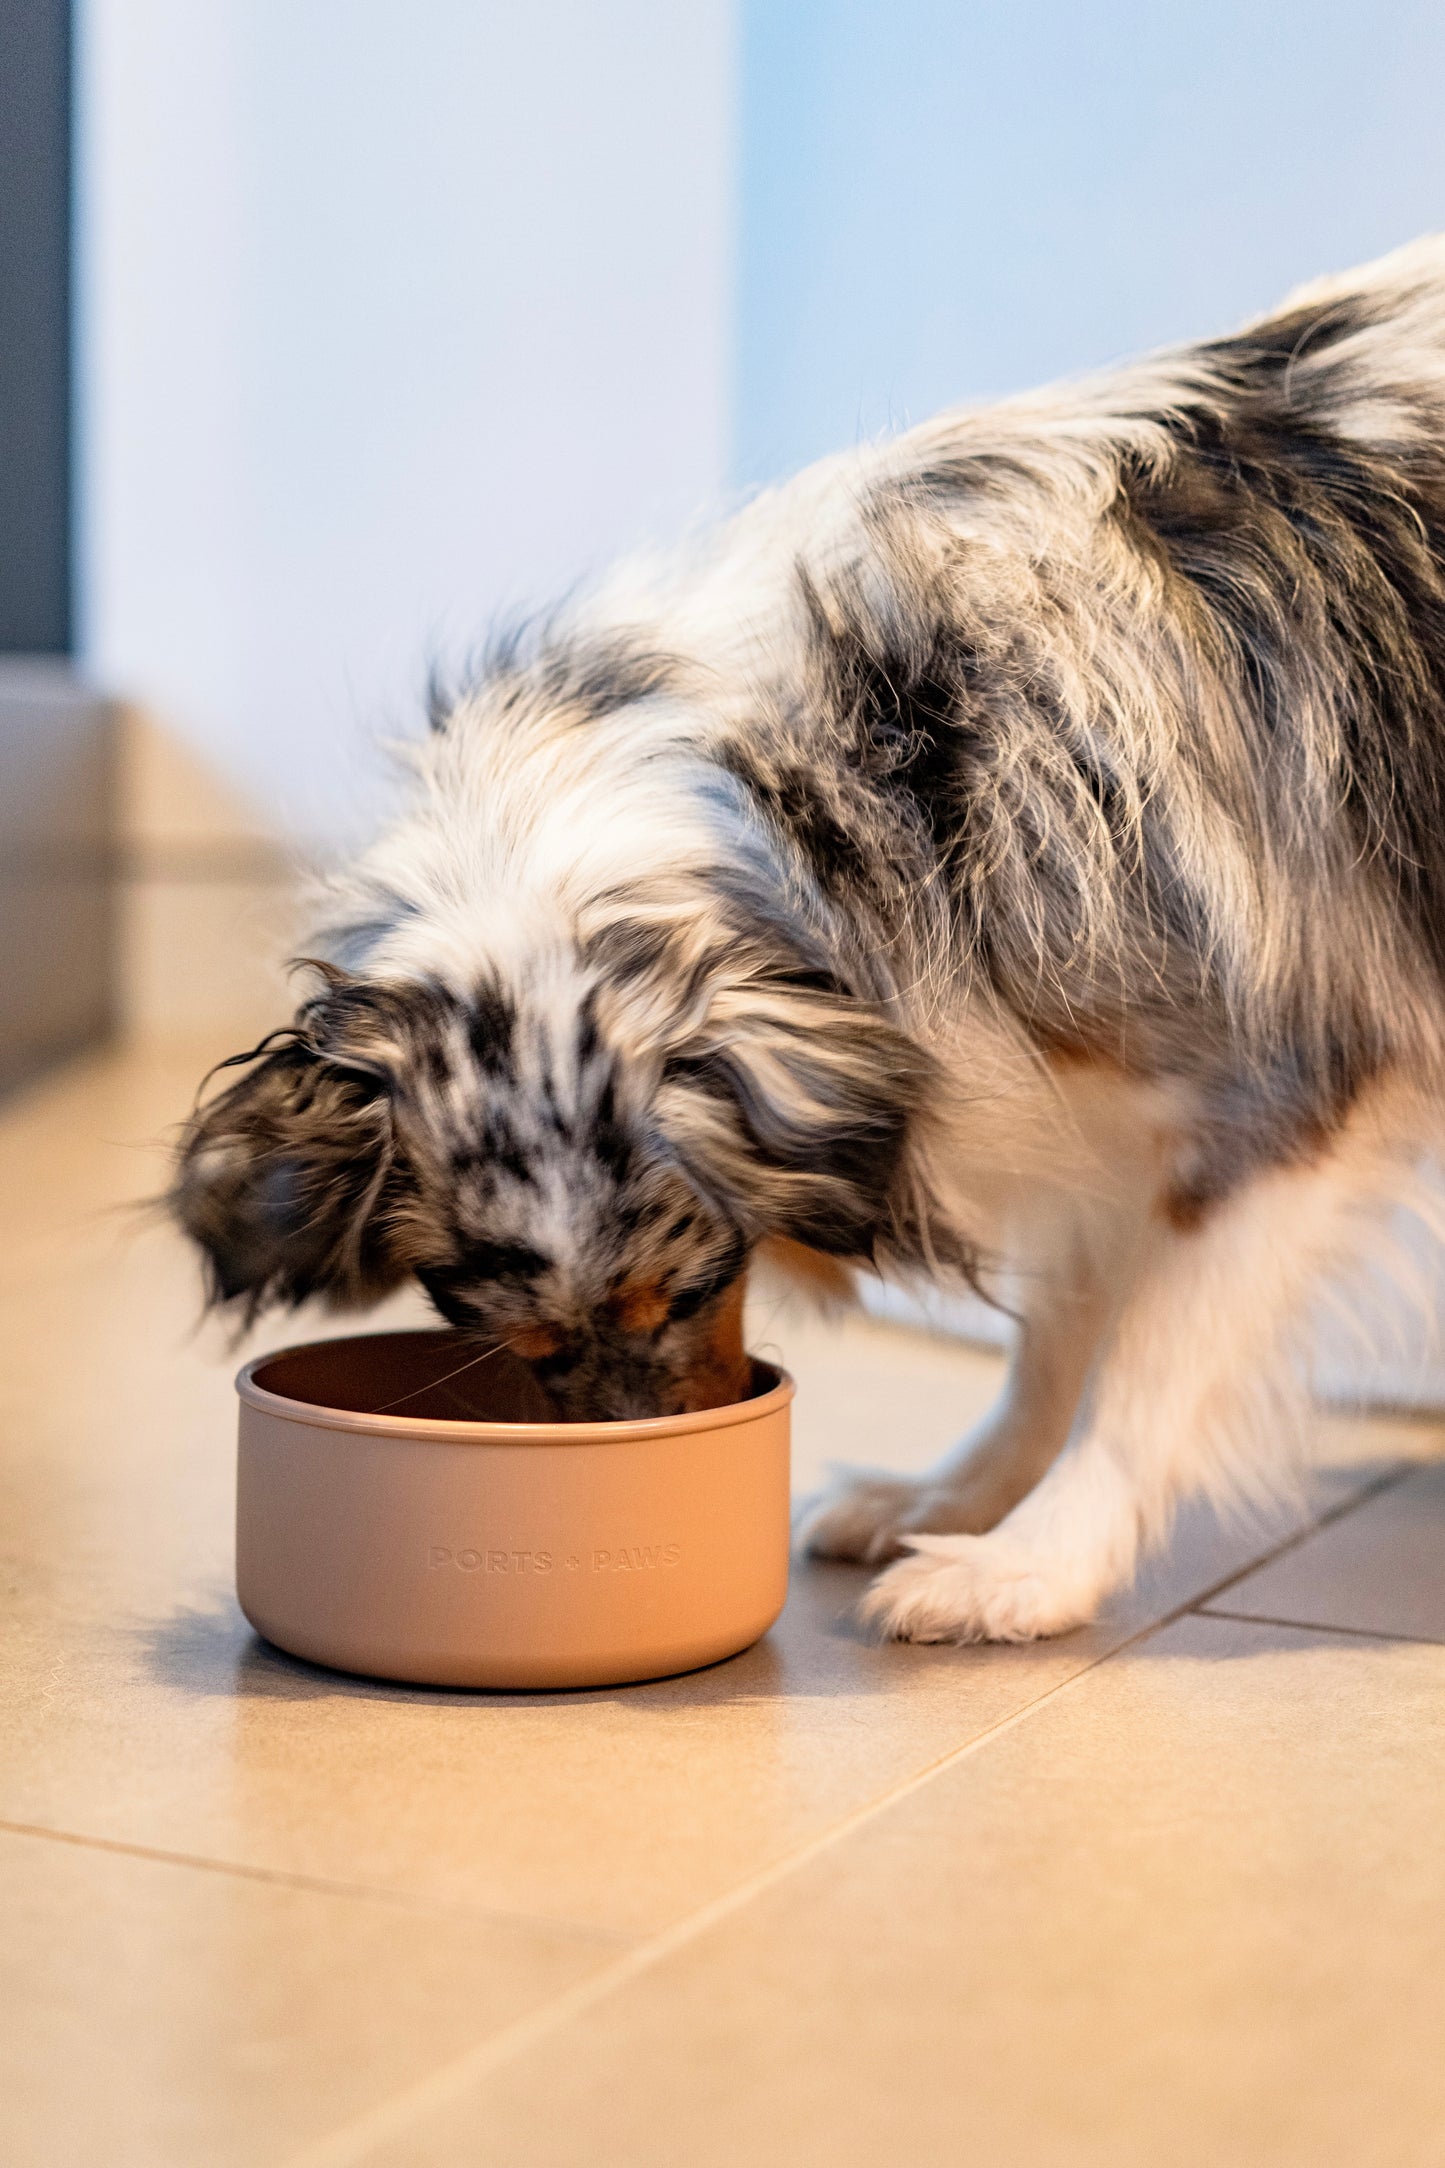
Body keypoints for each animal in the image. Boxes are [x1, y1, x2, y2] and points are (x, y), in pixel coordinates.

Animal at [175, 237, 1445, 1639]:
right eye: (520, 1344)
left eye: (683, 1291)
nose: (634, 1483)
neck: (877, 776)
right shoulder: (1075, 1078)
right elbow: (1054, 1332)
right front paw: (950, 1498)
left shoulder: (1289, 1088)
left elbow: (1143, 1365)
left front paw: (1026, 1564)